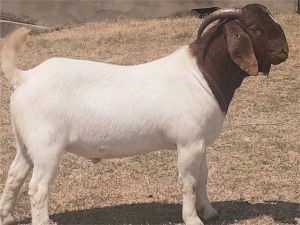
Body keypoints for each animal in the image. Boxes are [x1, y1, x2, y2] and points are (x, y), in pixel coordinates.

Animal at [0, 3, 288, 225]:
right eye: (254, 29)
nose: (284, 51)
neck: (201, 76)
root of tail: (24, 77)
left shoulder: (201, 142)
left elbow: (203, 177)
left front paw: (209, 211)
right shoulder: (188, 143)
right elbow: (189, 181)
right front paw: (192, 218)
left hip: (26, 142)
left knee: (15, 175)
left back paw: (8, 217)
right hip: (47, 145)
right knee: (38, 188)